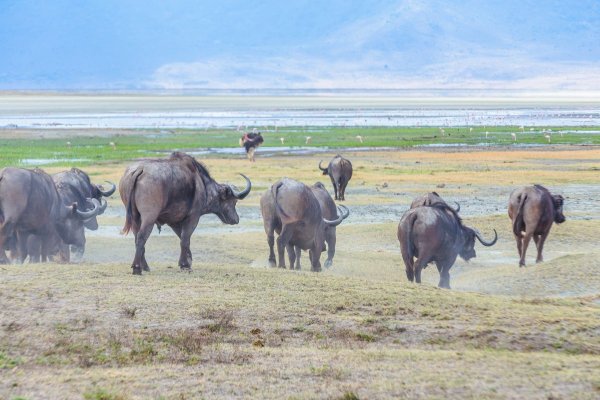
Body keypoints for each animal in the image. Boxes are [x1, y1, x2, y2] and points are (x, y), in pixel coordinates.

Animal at [119, 151, 251, 276]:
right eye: (234, 201)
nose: (236, 219)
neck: (202, 184)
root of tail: (139, 170)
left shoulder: (173, 222)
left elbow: (181, 237)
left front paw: (188, 260)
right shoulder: (193, 217)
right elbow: (185, 239)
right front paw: (185, 264)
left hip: (135, 217)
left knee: (136, 237)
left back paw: (145, 266)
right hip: (149, 217)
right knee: (141, 237)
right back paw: (137, 268)